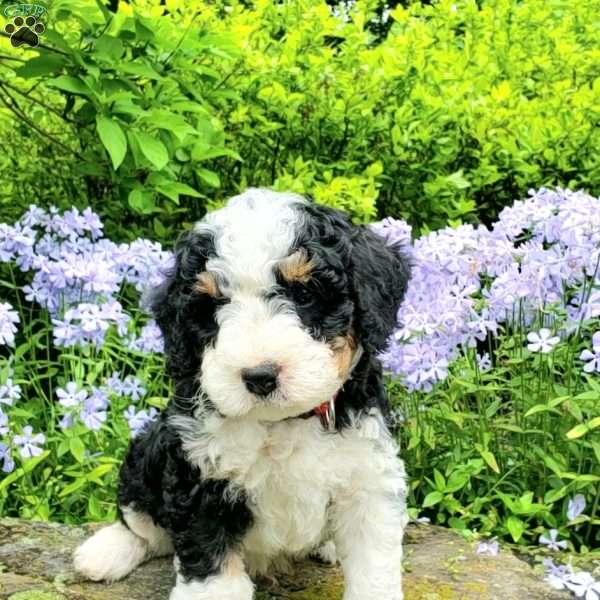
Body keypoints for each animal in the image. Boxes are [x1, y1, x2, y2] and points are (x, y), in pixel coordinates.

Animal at [74, 189, 412, 600]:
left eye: (305, 293)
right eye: (212, 306)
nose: (259, 376)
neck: (282, 423)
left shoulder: (369, 477)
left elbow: (372, 565)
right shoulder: (197, 480)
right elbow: (210, 567)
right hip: (147, 450)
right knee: (141, 522)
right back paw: (105, 552)